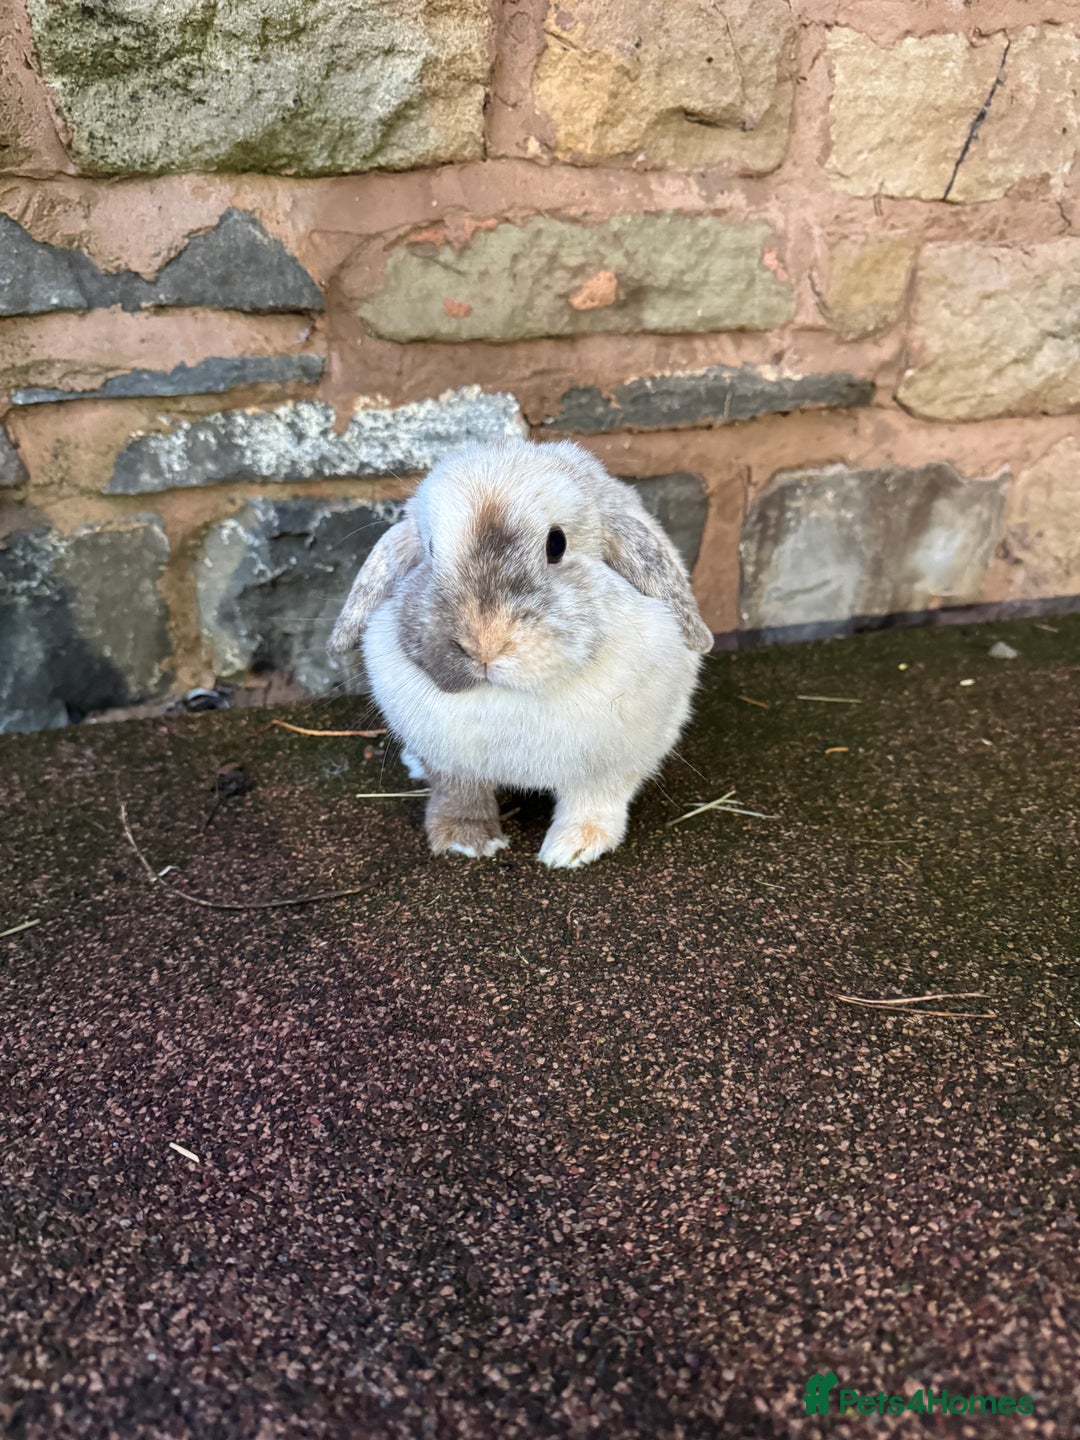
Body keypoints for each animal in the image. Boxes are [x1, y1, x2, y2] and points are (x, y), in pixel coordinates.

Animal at [327, 438, 713, 868]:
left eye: (557, 544)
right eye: (430, 549)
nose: (484, 644)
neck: (506, 696)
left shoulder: (610, 767)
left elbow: (592, 804)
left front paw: (572, 849)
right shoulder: (451, 765)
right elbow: (459, 797)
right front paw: (467, 841)